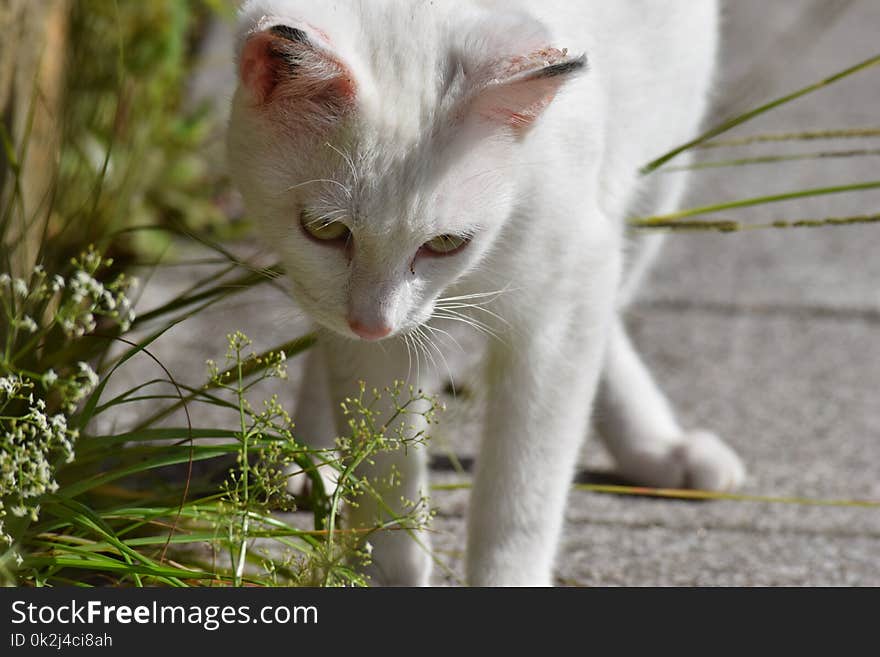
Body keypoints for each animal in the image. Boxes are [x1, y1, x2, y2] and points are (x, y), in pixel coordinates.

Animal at [227, 0, 744, 584]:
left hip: (654, 175)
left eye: (447, 242)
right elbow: (384, 463)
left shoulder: (565, 290)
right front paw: (385, 563)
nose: (373, 322)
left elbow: (522, 489)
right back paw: (314, 461)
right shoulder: (366, 333)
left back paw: (657, 446)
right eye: (324, 229)